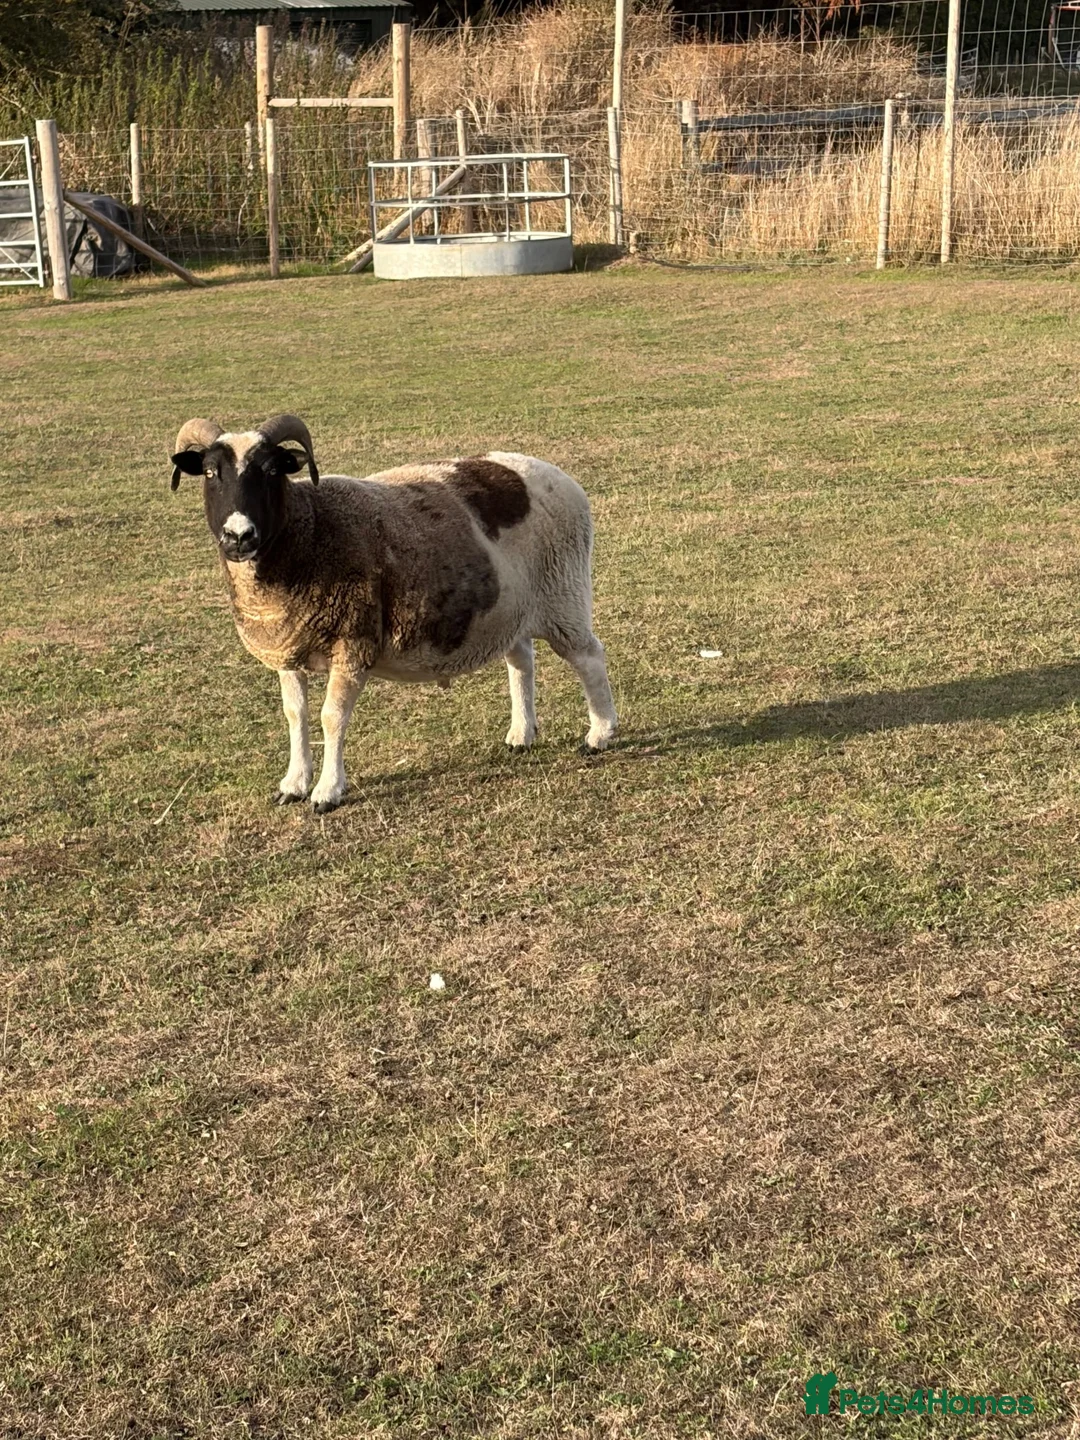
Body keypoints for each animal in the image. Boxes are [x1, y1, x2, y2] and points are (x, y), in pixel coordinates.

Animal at [169, 414, 617, 813]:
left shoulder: (353, 642)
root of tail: (561, 477)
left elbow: (332, 717)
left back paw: (600, 735)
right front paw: (293, 784)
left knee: (589, 657)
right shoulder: (288, 647)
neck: (309, 530)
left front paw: (327, 792)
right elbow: (295, 715)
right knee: (521, 660)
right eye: (209, 472)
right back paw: (521, 734)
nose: (238, 536)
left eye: (271, 471)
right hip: (508, 608)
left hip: (563, 593)